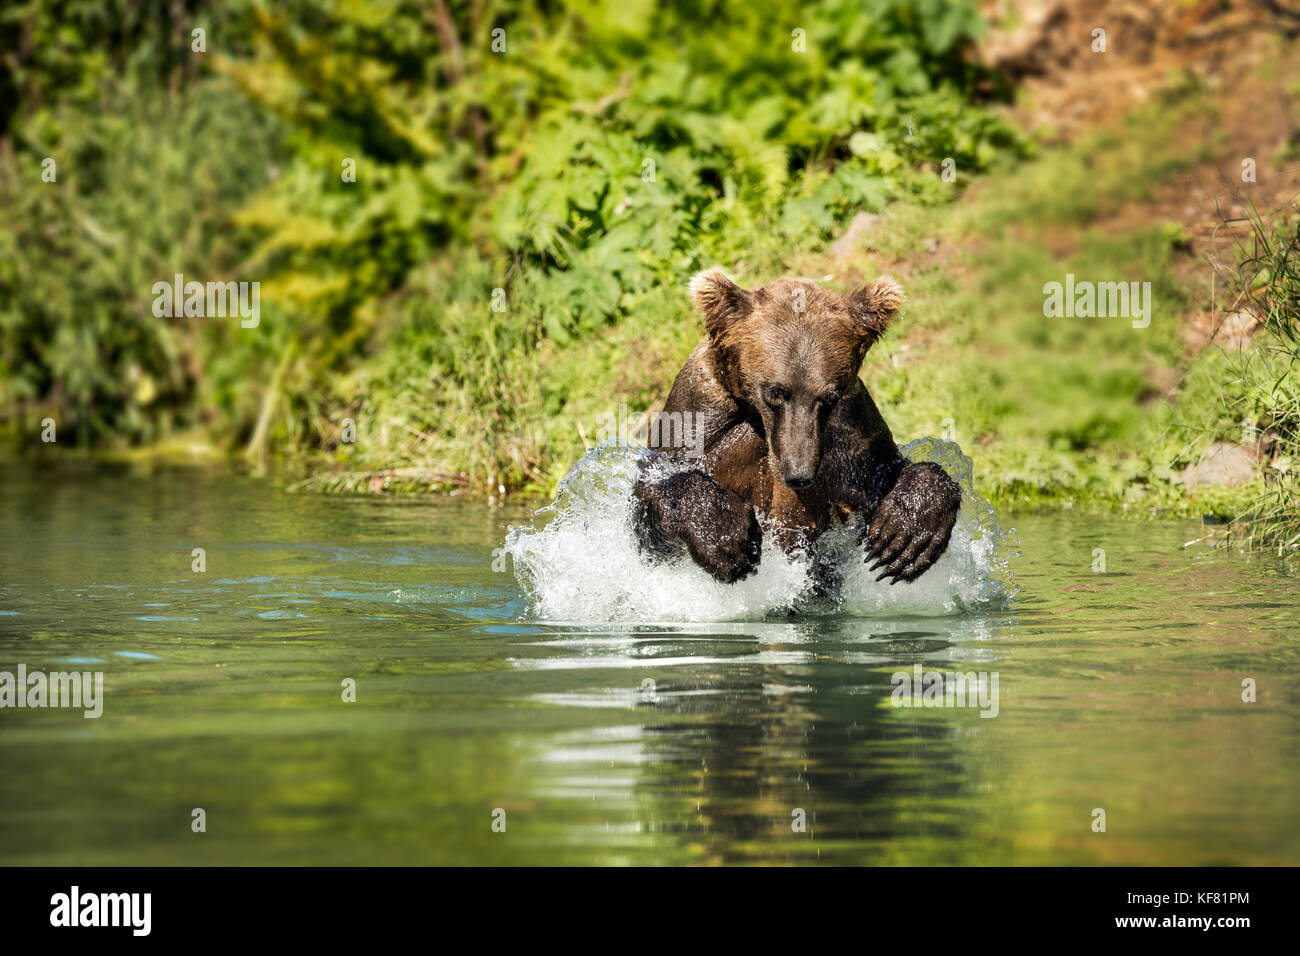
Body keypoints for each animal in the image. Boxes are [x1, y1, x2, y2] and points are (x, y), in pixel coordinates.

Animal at [634, 265, 961, 587]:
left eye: (829, 396)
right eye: (776, 391)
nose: (799, 472)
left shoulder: (852, 428)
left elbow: (886, 473)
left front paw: (906, 532)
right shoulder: (698, 414)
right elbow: (652, 498)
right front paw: (724, 533)